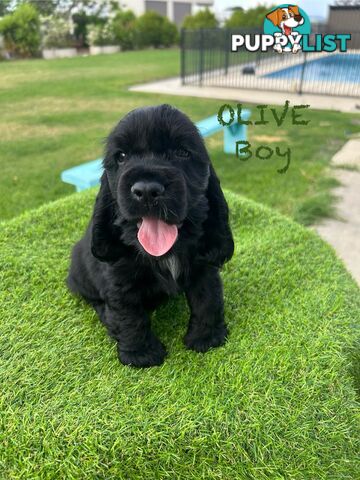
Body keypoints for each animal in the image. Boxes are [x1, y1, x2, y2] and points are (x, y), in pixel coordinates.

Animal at [67, 104, 233, 368]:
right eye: (121, 156)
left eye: (182, 152)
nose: (146, 190)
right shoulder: (118, 279)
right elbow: (129, 315)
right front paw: (140, 354)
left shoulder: (203, 266)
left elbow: (207, 298)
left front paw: (207, 338)